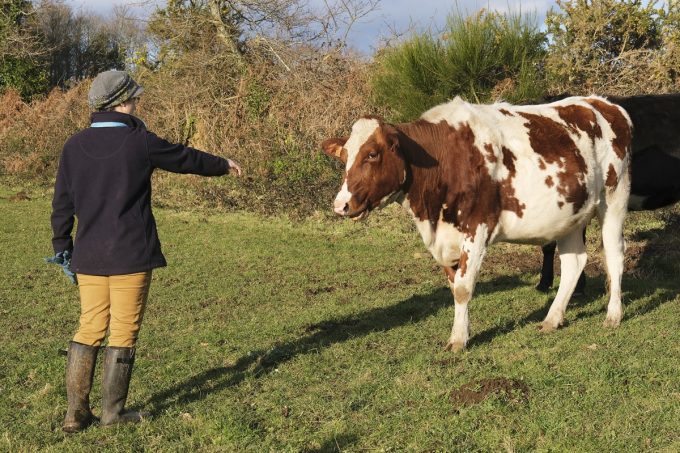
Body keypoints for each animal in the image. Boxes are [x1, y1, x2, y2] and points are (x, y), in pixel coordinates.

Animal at [322, 95, 632, 352]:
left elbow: (463, 287)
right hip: (569, 215)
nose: (341, 205)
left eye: (372, 154)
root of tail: (602, 103)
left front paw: (458, 340)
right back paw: (552, 319)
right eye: (345, 156)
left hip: (614, 199)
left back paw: (613, 315)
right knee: (573, 263)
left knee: (614, 255)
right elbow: (454, 286)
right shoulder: (444, 238)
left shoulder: (477, 227)